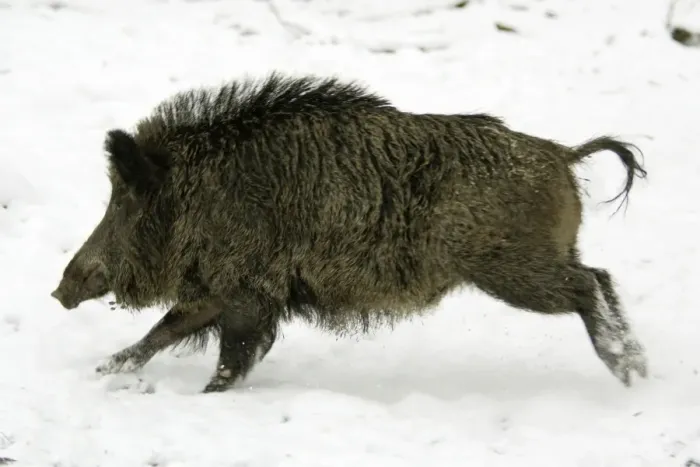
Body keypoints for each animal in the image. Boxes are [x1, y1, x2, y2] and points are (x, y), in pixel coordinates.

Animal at [51, 72, 648, 393]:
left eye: (122, 199)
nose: (60, 290)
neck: (201, 193)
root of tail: (562, 155)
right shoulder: (221, 288)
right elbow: (164, 331)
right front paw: (103, 371)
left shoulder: (248, 287)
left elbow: (229, 354)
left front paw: (207, 393)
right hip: (541, 256)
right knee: (601, 275)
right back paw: (639, 372)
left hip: (512, 268)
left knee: (588, 285)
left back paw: (624, 370)